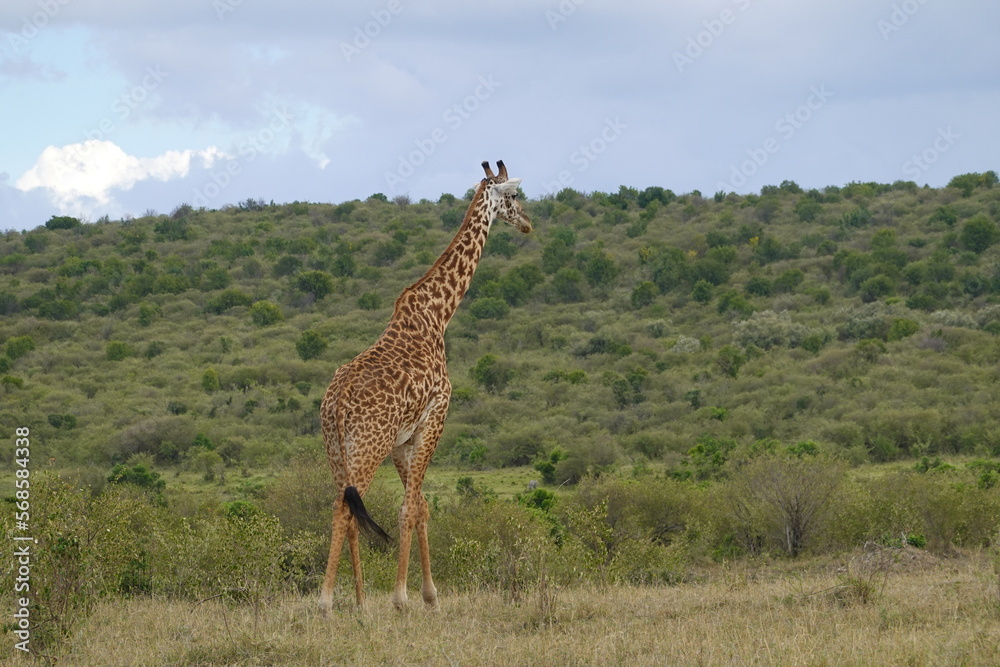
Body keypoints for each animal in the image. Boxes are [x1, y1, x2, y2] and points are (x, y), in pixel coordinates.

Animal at [318, 160, 531, 611]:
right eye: (514, 196)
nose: (527, 223)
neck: (439, 313)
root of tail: (337, 403)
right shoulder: (436, 416)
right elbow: (409, 507)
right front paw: (404, 597)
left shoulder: (403, 437)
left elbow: (422, 504)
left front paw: (428, 595)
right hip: (367, 446)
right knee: (345, 509)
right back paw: (326, 603)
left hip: (335, 449)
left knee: (343, 506)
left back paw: (360, 603)